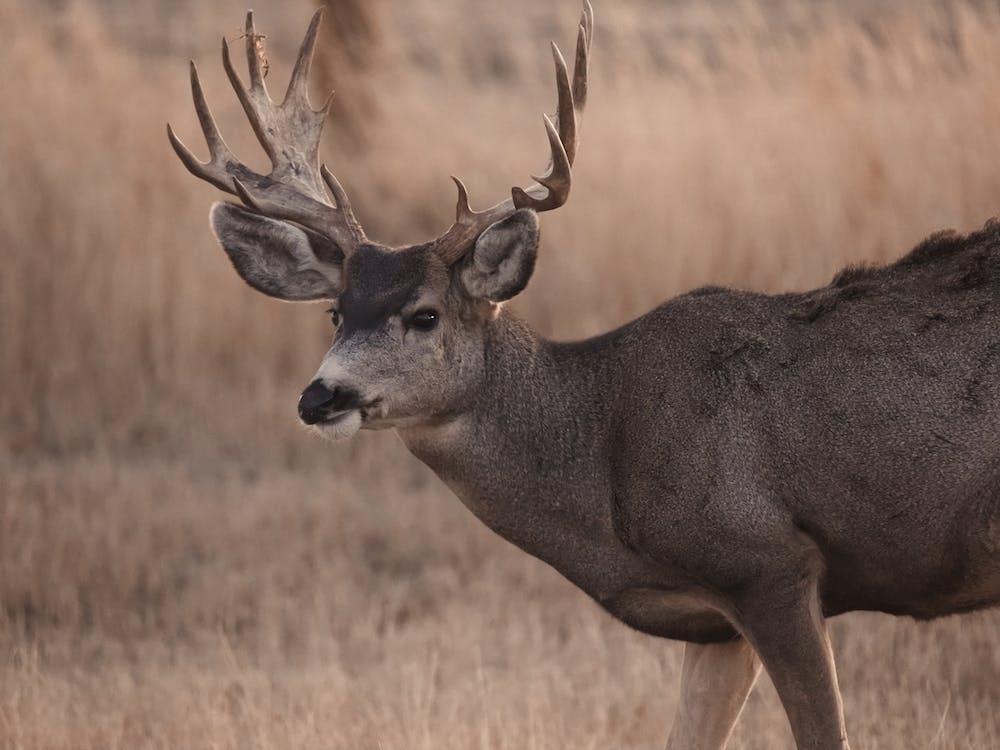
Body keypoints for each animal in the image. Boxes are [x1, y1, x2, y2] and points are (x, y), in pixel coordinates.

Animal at [168, 5, 1000, 749]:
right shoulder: (715, 620)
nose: (321, 396)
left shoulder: (773, 563)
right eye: (335, 314)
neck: (602, 451)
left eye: (425, 314)